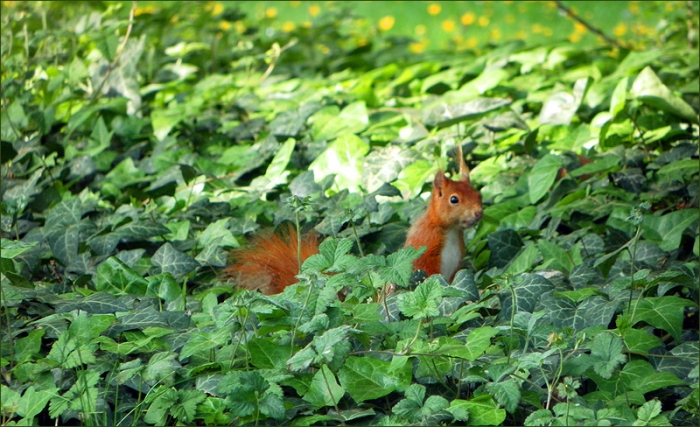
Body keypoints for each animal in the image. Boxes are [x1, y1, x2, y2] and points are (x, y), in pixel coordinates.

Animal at [224, 145, 483, 294]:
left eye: (478, 194)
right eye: (454, 199)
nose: (478, 213)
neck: (449, 230)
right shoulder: (425, 246)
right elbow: (425, 273)